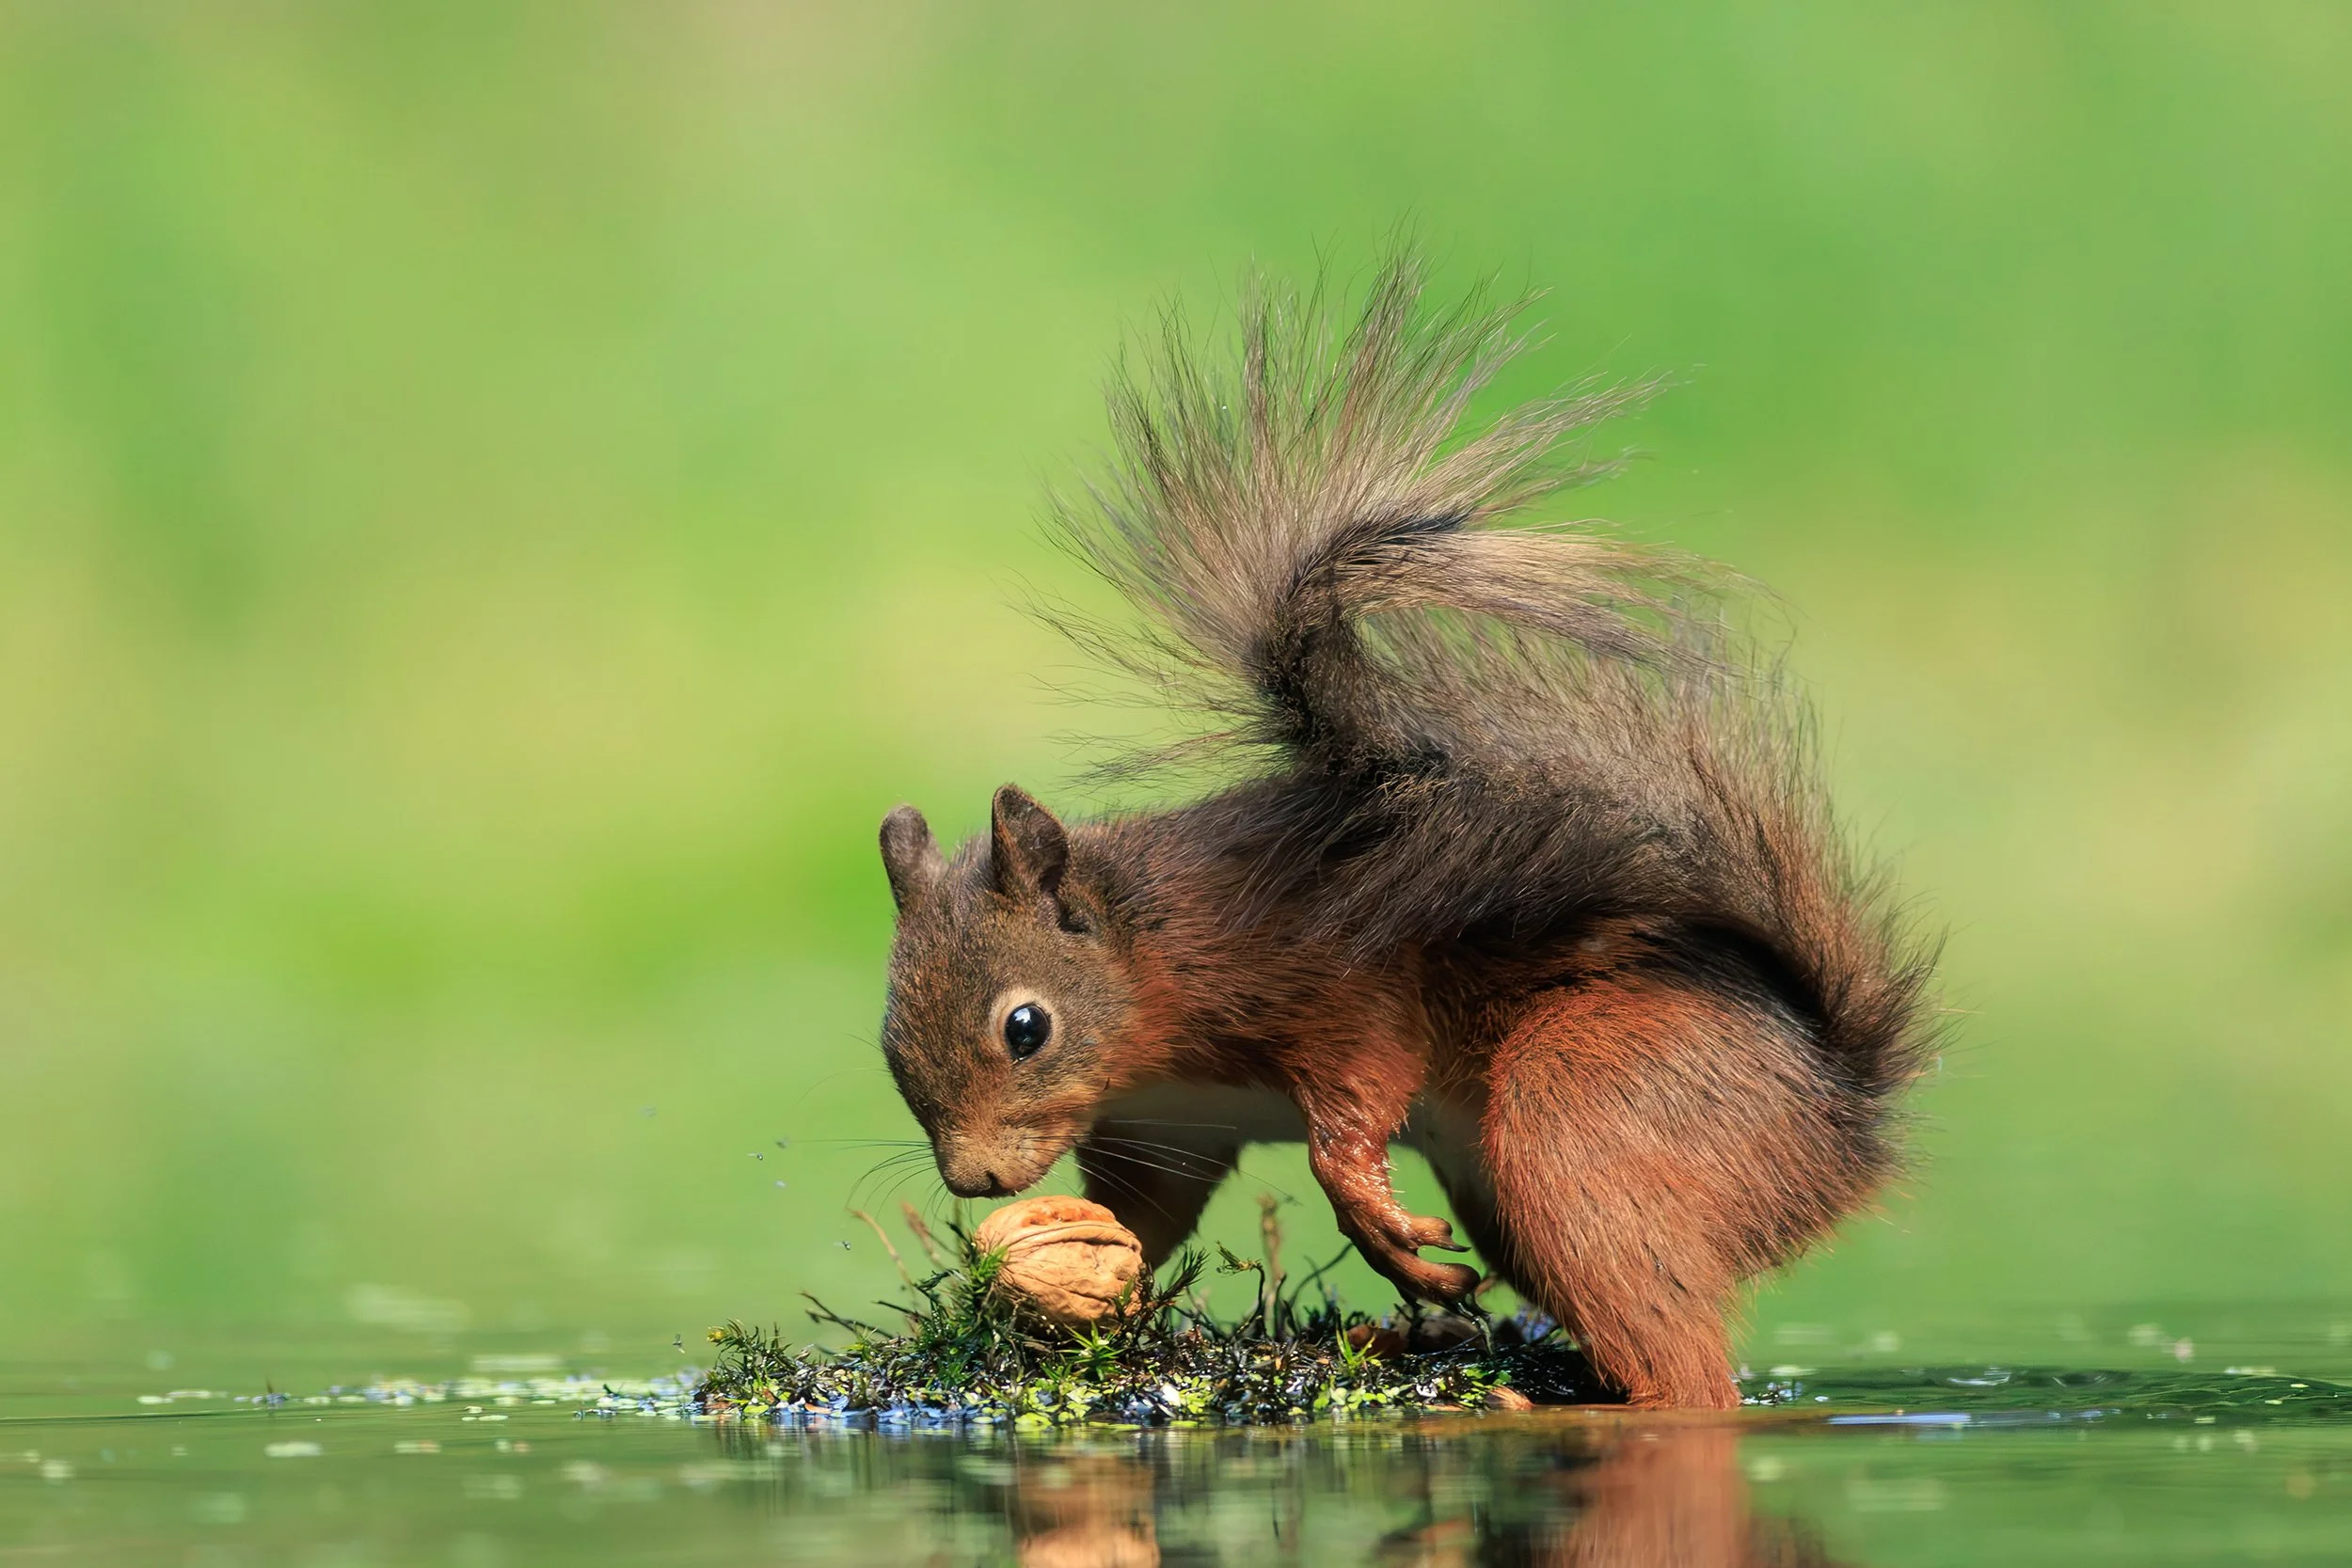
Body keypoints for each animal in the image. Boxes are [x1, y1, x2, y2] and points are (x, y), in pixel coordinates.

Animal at [872, 257, 1937, 1410]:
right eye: (887, 1039)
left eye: (1026, 1026)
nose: (975, 1179)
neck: (1149, 953)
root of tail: (1844, 1119)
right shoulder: (1169, 1120)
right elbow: (1146, 1210)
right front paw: (1068, 1270)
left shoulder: (1333, 978)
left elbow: (1354, 1097)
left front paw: (1374, 1221)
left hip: (1590, 1115)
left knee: (1685, 1375)